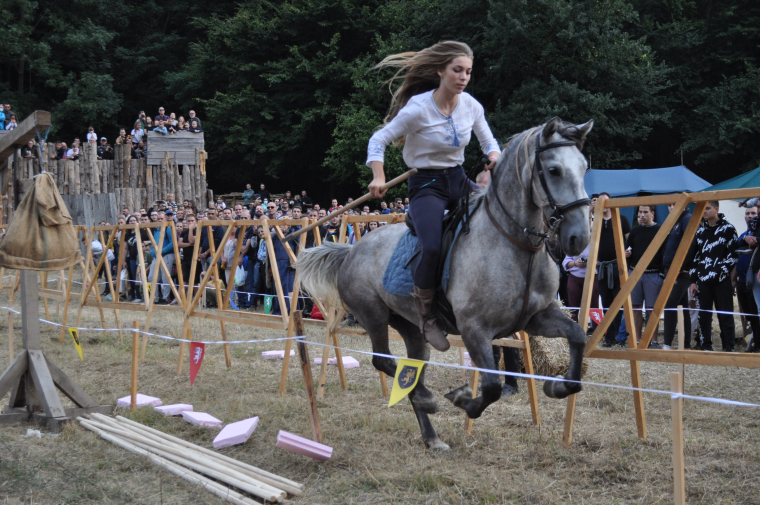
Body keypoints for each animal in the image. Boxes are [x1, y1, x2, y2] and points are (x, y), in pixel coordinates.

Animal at [300, 118, 596, 448]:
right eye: (554, 170)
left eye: (584, 167)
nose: (579, 237)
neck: (515, 245)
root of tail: (352, 250)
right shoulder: (475, 328)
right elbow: (491, 386)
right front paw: (464, 401)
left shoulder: (536, 318)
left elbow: (577, 337)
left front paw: (558, 387)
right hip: (373, 316)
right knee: (384, 361)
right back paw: (426, 399)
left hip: (412, 328)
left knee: (411, 367)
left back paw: (431, 435)